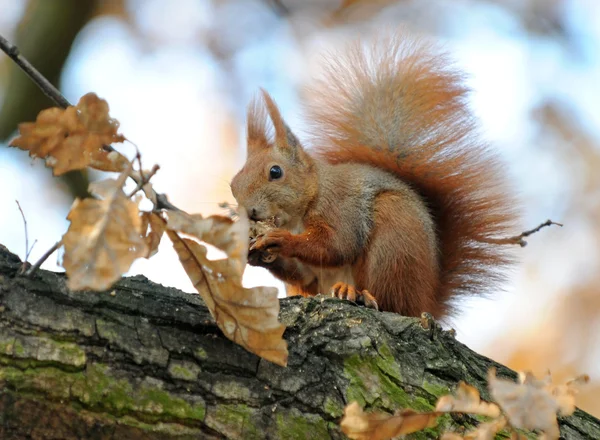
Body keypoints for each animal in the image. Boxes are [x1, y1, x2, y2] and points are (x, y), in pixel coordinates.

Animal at [229, 31, 516, 320]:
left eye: (275, 172)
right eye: (232, 185)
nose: (249, 211)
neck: (311, 197)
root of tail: (427, 301)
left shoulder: (341, 207)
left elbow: (336, 245)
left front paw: (280, 239)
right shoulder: (307, 273)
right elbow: (303, 273)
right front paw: (255, 253)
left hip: (394, 244)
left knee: (390, 299)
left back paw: (357, 293)